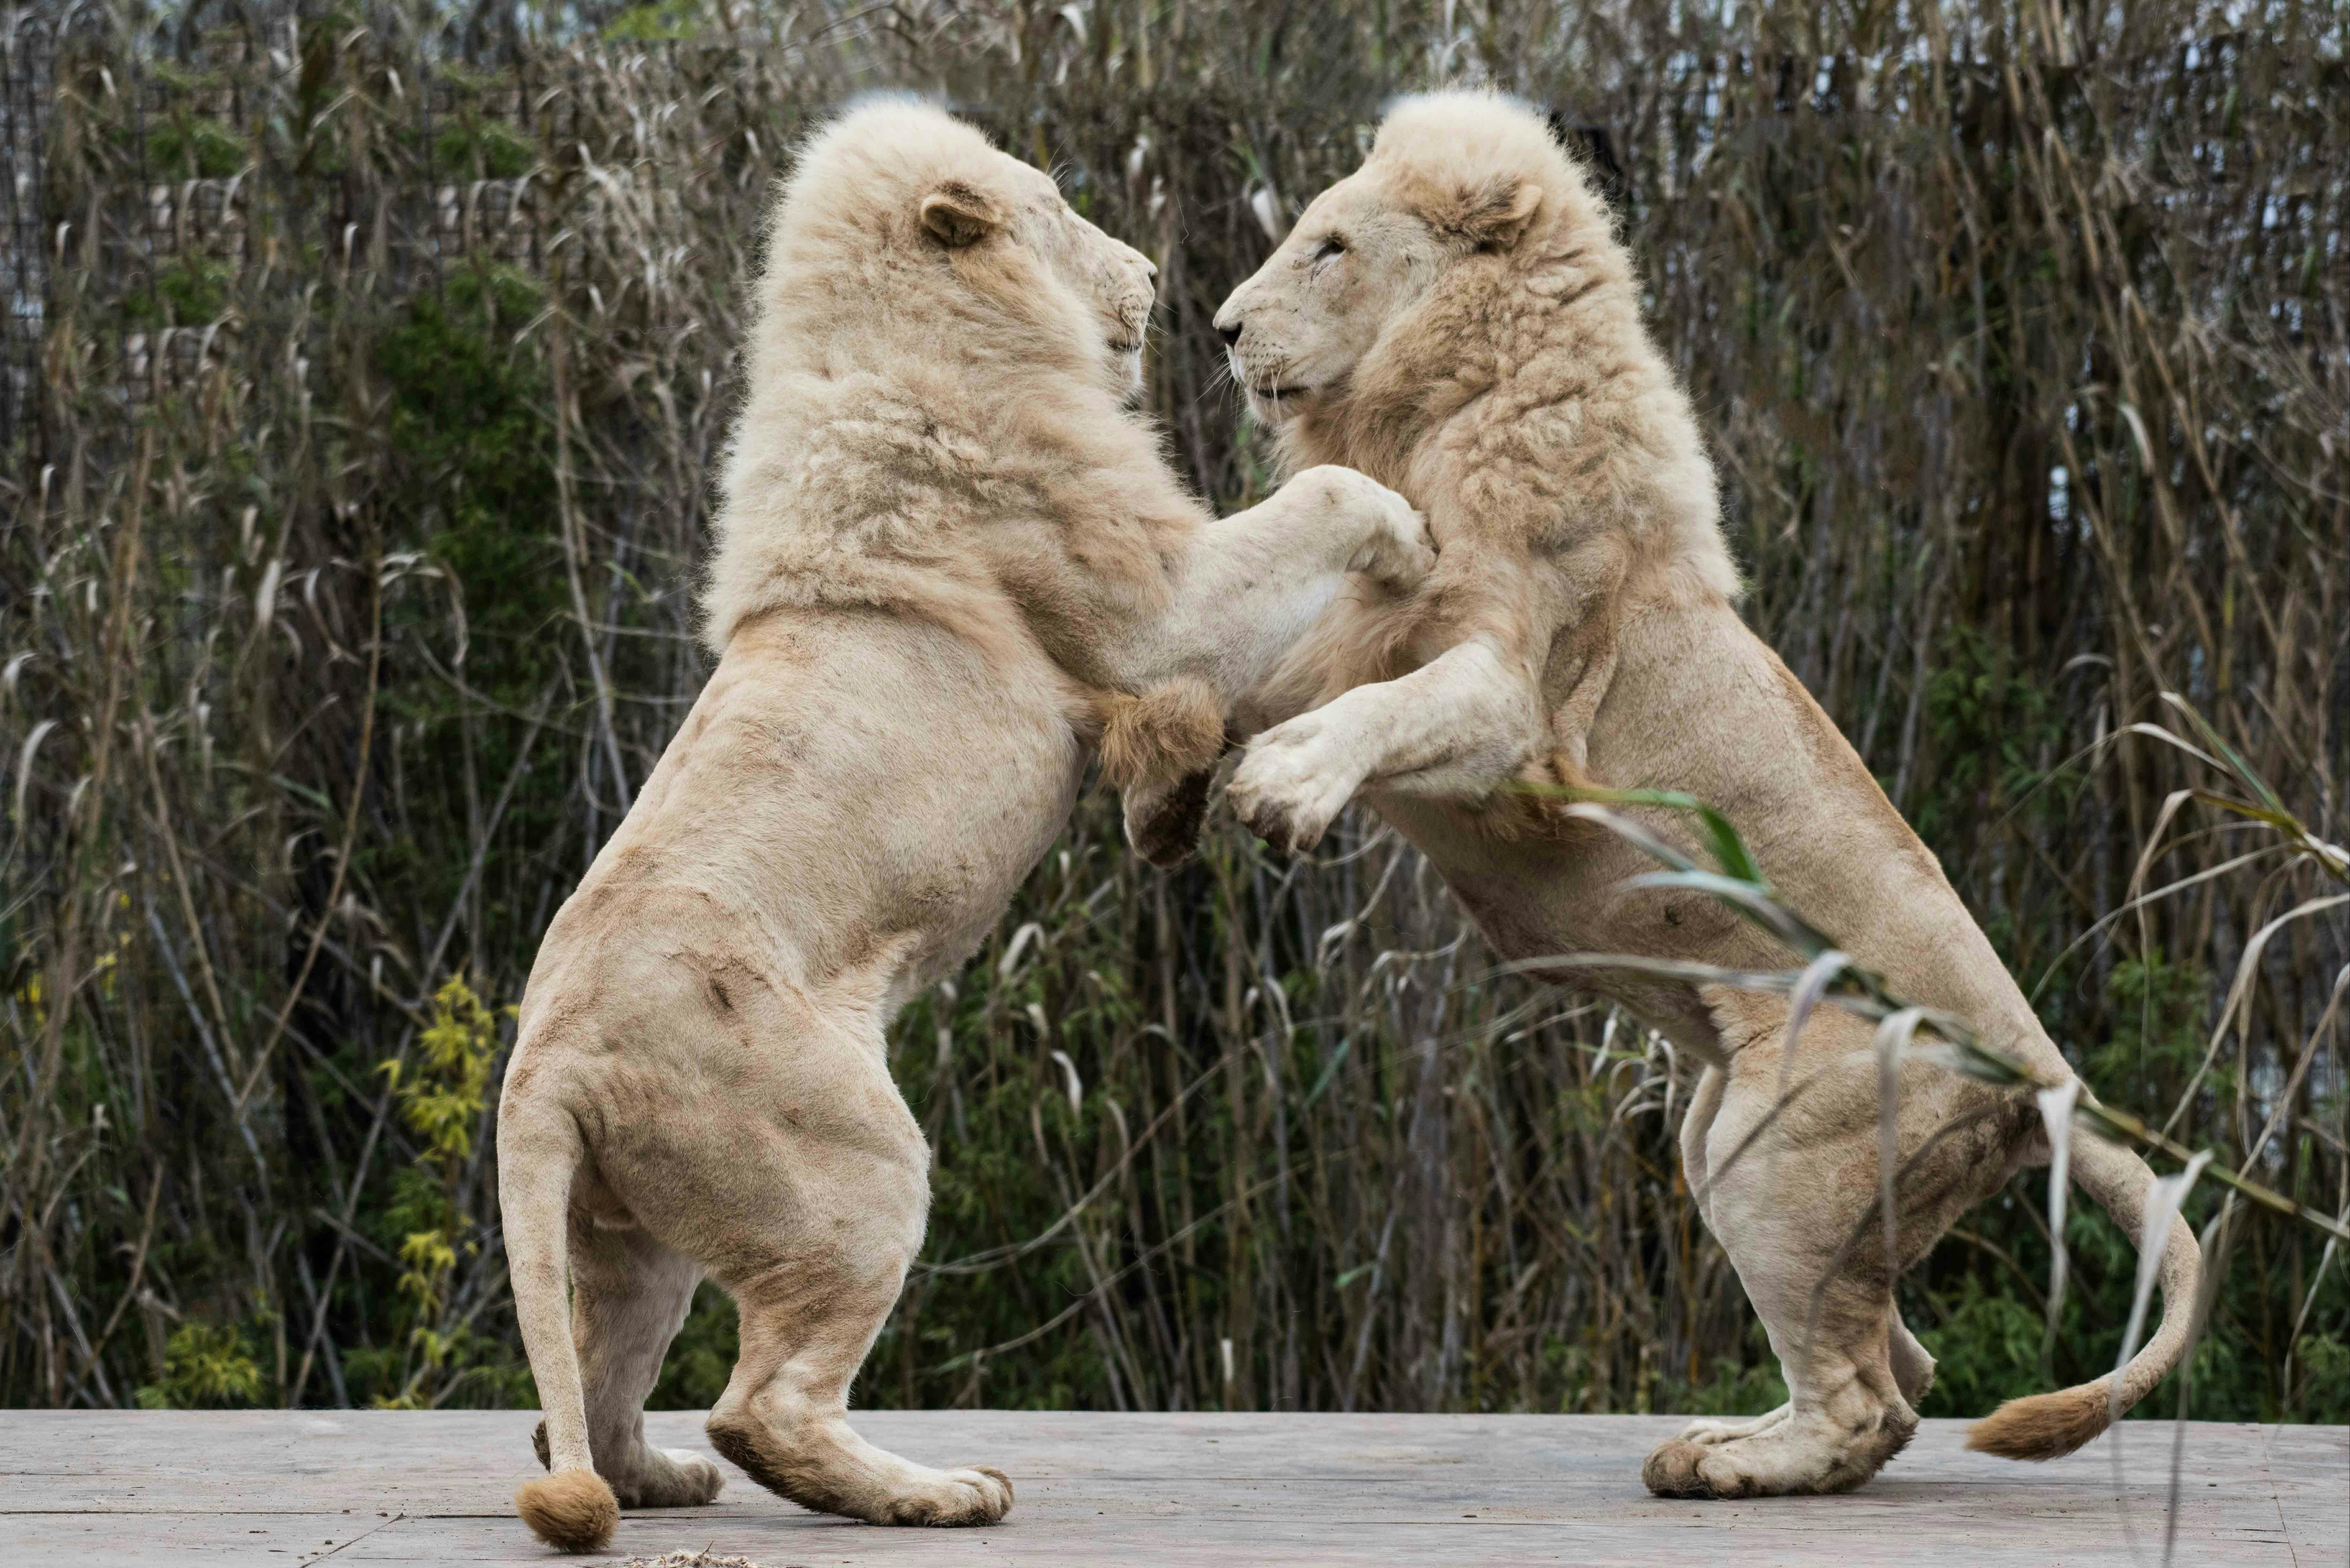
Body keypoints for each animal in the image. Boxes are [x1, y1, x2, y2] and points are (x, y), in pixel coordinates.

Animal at [496, 100, 1432, 1552]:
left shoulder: (1149, 645)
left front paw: (1171, 812)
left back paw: (657, 1480)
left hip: (632, 1233)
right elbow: (1320, 503)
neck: (921, 346)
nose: (1157, 282)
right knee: (763, 1405)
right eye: (1051, 205)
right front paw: (1405, 526)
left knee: (583, 1403)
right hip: (854, 1166)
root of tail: (540, 1066)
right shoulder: (1153, 599)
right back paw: (934, 1492)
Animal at [1206, 92, 2202, 1498]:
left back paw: (1720, 1464)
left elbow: (1386, 711)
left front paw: (1286, 785)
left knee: (1868, 1403)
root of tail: (2044, 1080)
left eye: (1330, 247)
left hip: (1771, 1158)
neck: (1442, 412)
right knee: (1901, 1365)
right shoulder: (1329, 640)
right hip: (1717, 1137)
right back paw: (1740, 1441)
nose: (1222, 330)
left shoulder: (1520, 708)